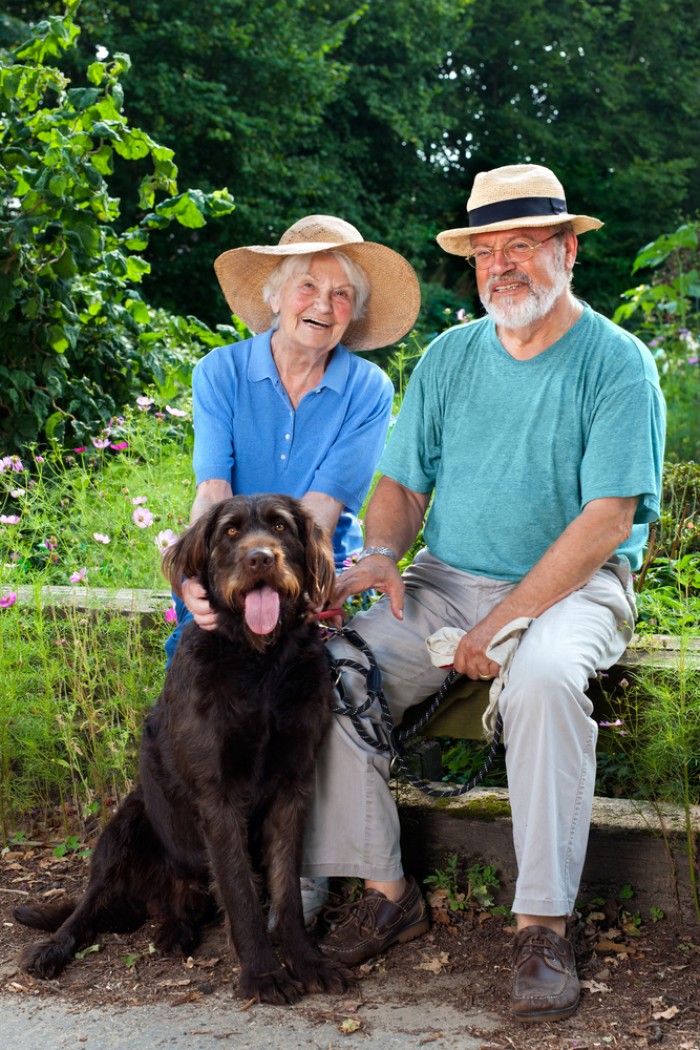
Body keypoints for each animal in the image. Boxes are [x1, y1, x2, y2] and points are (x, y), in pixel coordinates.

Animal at [16, 495, 352, 1003]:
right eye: (230, 532)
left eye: (279, 527)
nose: (260, 559)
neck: (260, 664)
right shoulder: (219, 798)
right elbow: (241, 892)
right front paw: (263, 974)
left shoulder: (292, 788)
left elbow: (286, 892)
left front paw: (307, 960)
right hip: (124, 830)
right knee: (86, 909)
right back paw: (54, 948)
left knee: (181, 909)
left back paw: (174, 932)